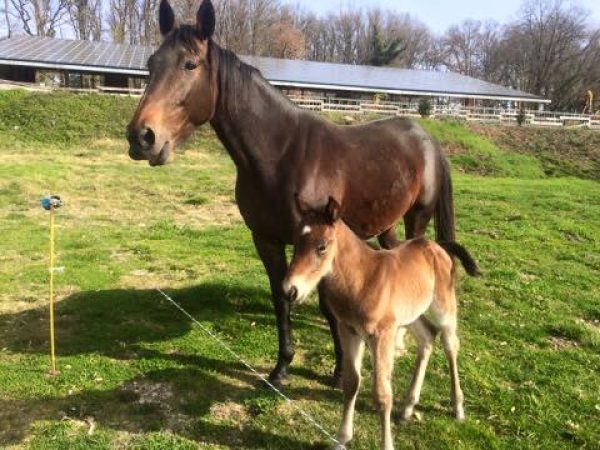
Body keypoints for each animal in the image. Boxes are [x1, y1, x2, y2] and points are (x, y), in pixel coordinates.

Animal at [284, 199, 480, 450]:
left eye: (322, 247)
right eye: (296, 243)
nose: (290, 290)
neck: (362, 280)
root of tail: (436, 246)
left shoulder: (382, 335)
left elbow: (382, 394)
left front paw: (386, 444)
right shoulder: (349, 330)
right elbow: (351, 383)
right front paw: (341, 439)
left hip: (443, 306)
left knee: (450, 345)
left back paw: (457, 407)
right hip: (410, 314)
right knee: (427, 337)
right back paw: (408, 408)